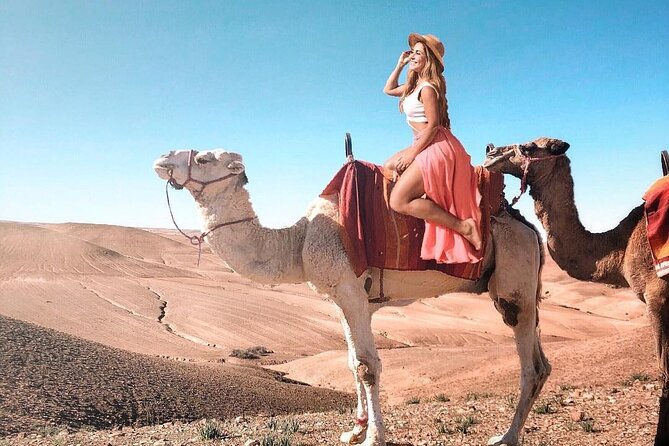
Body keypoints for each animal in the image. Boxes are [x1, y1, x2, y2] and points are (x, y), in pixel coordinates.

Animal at [153, 149, 551, 446]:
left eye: (204, 158)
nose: (161, 160)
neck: (298, 241)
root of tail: (530, 228)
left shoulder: (351, 291)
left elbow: (367, 367)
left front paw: (374, 436)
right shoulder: (341, 298)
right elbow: (350, 362)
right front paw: (355, 429)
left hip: (513, 281)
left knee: (529, 364)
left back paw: (506, 437)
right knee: (542, 363)